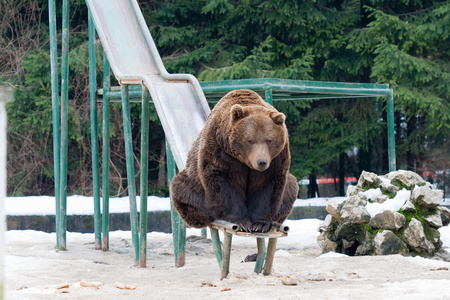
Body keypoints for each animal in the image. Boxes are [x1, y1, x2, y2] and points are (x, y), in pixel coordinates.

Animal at [171, 88, 298, 232]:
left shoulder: (276, 158)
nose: (261, 162)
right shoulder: (220, 151)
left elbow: (266, 186)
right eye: (250, 140)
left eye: (269, 140)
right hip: (194, 184)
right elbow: (225, 185)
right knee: (181, 188)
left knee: (291, 188)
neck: (243, 160)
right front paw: (242, 222)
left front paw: (259, 224)